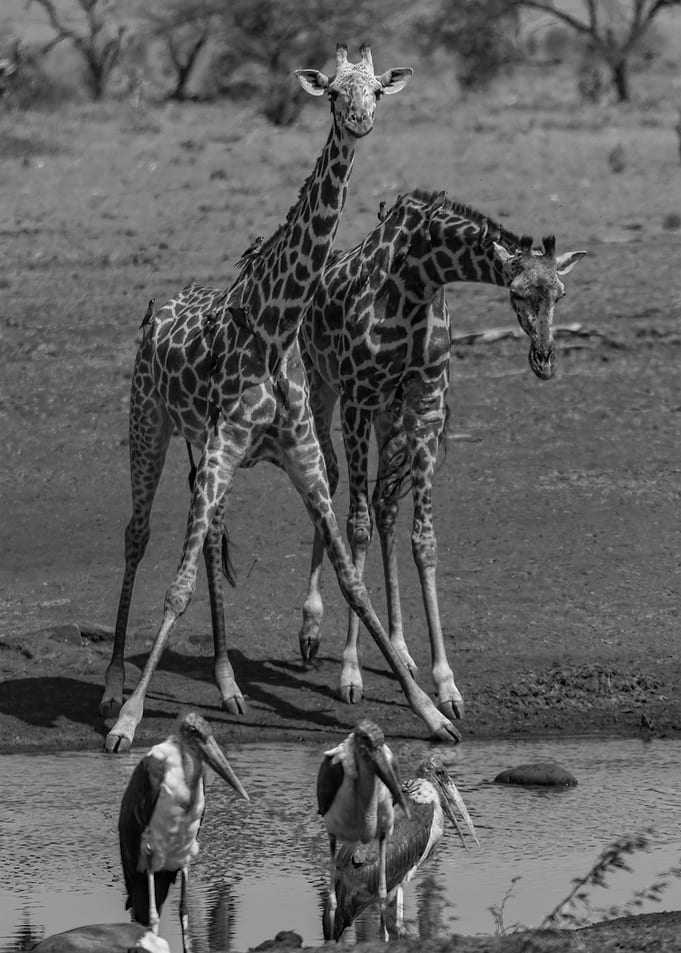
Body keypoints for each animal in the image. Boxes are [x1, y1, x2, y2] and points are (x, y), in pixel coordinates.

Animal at [101, 46, 464, 753]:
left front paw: (430, 712)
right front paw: (129, 719)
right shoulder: (223, 450)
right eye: (334, 93)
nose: (358, 122)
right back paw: (110, 687)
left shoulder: (302, 460)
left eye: (377, 91)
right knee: (137, 535)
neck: (274, 324)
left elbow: (353, 580)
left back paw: (228, 686)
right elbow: (175, 589)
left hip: (207, 455)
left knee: (210, 538)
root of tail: (158, 310)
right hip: (150, 424)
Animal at [293, 189, 587, 716]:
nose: (545, 360)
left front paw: (446, 685)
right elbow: (357, 526)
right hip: (321, 386)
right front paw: (350, 672)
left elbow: (423, 540)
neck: (418, 279)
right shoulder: (357, 400)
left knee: (386, 505)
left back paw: (400, 650)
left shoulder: (425, 409)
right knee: (327, 479)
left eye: (560, 295)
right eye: (517, 294)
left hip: (390, 415)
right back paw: (310, 630)